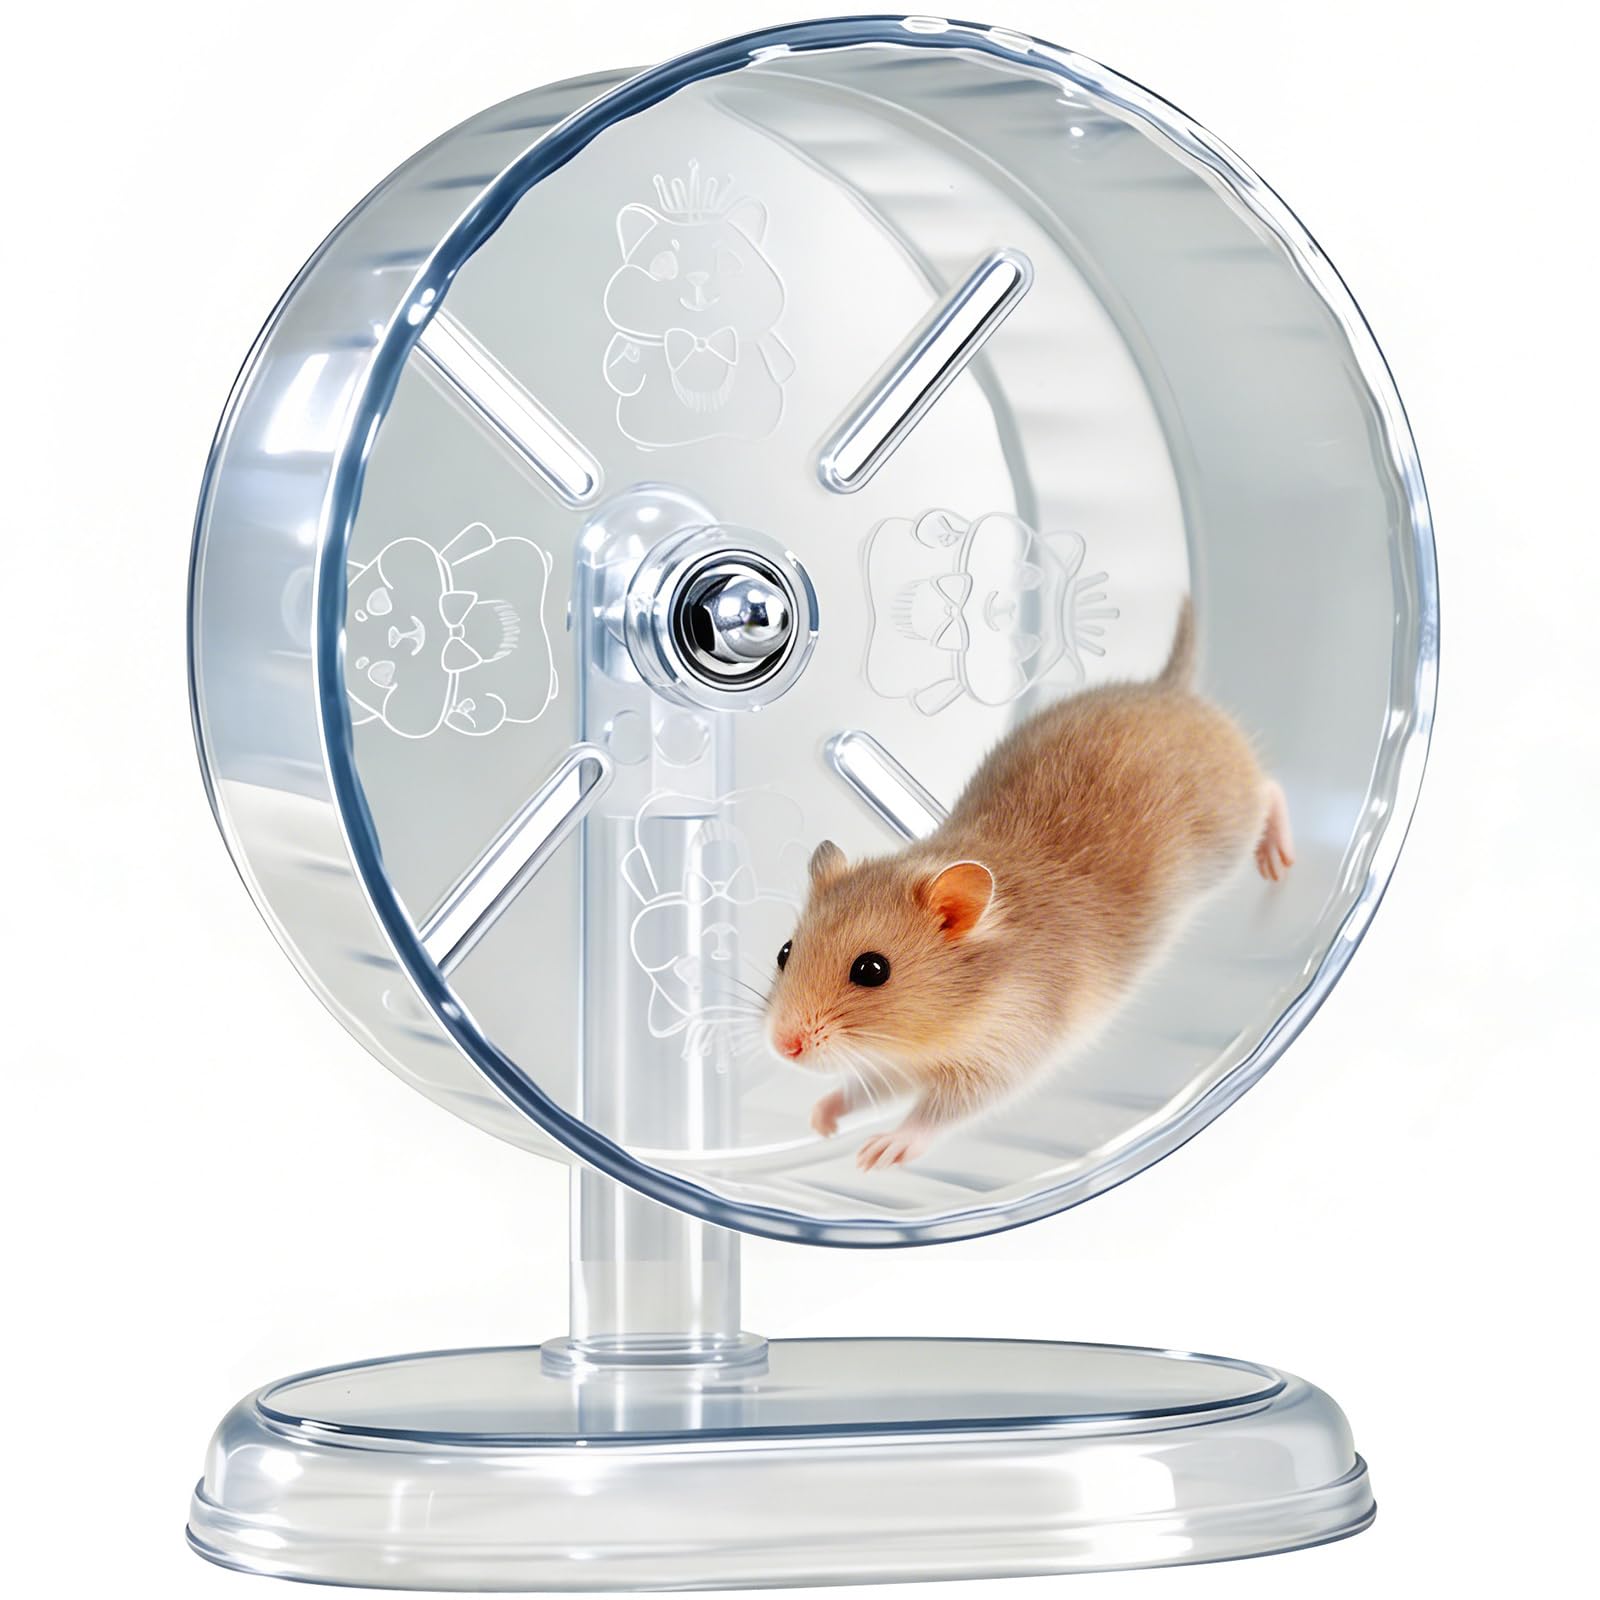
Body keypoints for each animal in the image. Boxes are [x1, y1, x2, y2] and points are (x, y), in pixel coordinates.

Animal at [765, 600, 1294, 1171]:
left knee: (1271, 789)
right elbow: (861, 1091)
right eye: (784, 951)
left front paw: (878, 1154)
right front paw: (820, 1122)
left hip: (1228, 836)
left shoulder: (1007, 1052)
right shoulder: (894, 1064)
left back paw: (1280, 861)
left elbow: (937, 1113)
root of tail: (1170, 688)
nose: (781, 1046)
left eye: (872, 970)